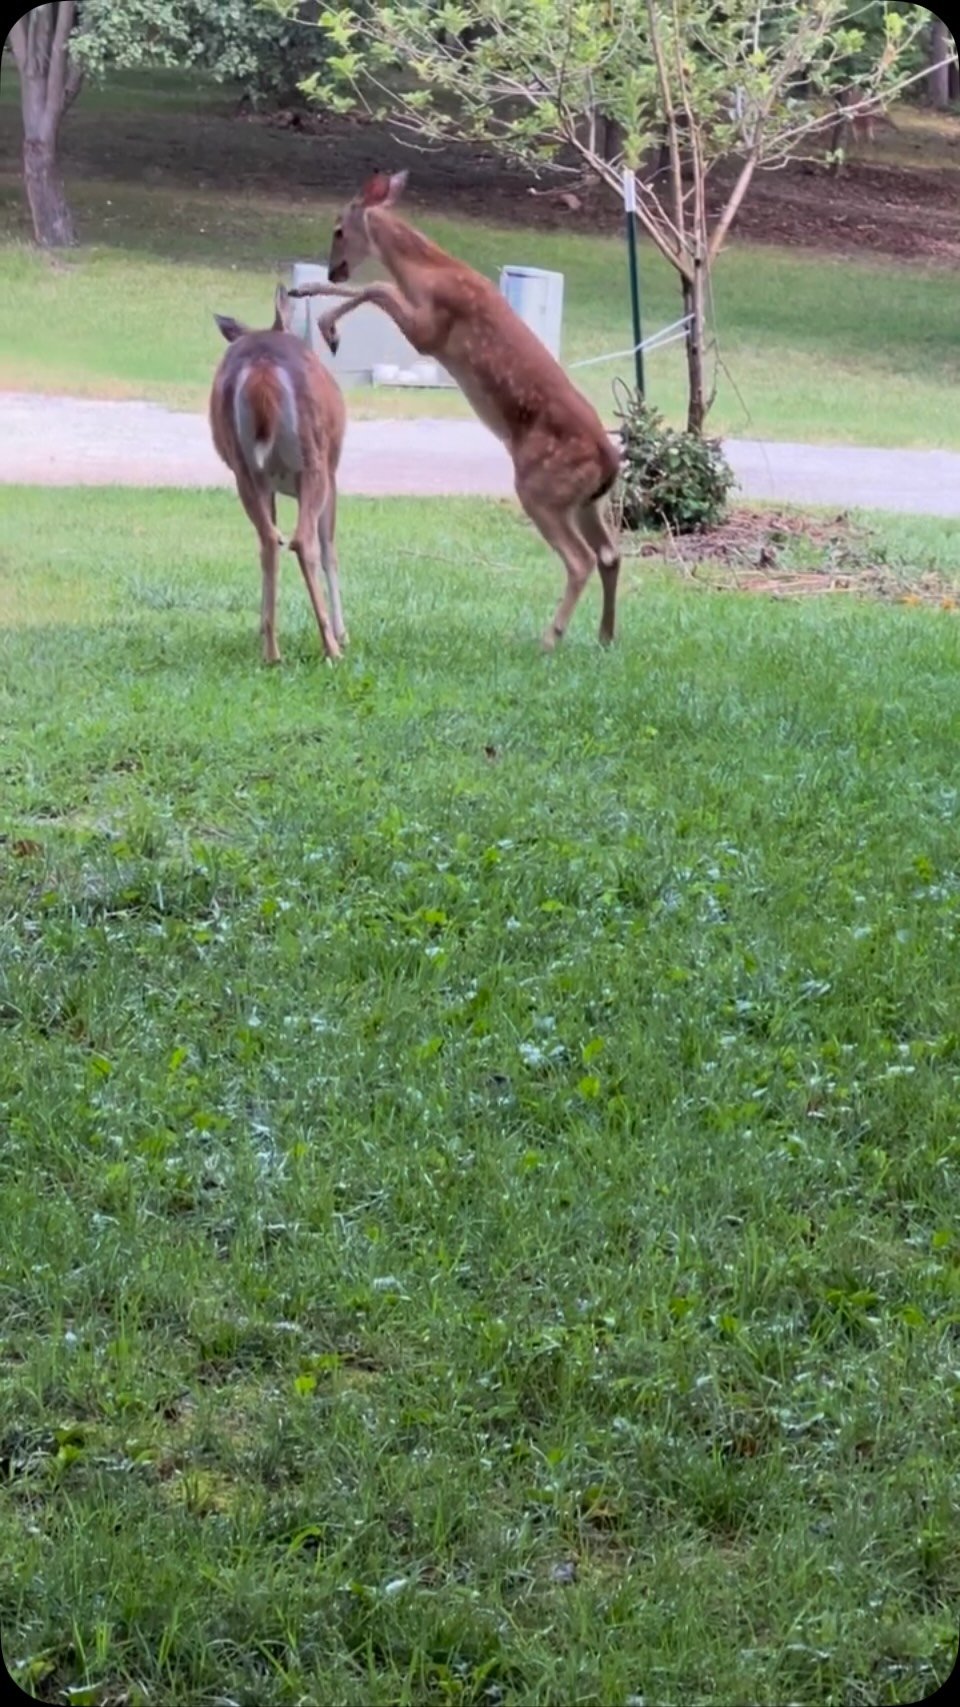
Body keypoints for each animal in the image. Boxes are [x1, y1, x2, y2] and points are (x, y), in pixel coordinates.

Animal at [209, 283, 347, 664]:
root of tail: (262, 367)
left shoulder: (268, 485)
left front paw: (261, 624)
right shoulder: (332, 475)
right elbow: (330, 549)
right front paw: (343, 633)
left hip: (244, 470)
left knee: (269, 540)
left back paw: (271, 649)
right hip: (313, 460)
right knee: (304, 541)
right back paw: (330, 647)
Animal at [288, 171, 622, 650]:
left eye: (337, 230)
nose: (333, 268)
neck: (431, 272)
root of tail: (611, 461)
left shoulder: (431, 329)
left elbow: (379, 287)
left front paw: (326, 324)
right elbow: (377, 287)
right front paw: (313, 305)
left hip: (541, 485)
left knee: (581, 560)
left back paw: (549, 638)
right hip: (585, 500)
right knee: (610, 553)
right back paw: (605, 636)